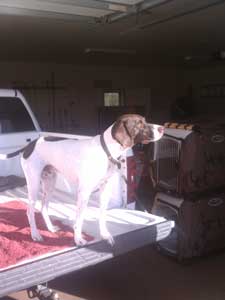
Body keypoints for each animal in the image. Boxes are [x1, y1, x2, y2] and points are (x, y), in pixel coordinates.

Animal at [0, 115, 163, 246]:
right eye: (139, 123)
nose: (162, 128)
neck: (105, 151)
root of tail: (30, 145)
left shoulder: (105, 191)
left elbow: (102, 216)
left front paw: (105, 235)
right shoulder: (84, 193)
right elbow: (79, 220)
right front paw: (78, 239)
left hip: (49, 184)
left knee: (43, 208)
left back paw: (50, 228)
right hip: (33, 185)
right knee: (30, 211)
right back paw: (35, 234)